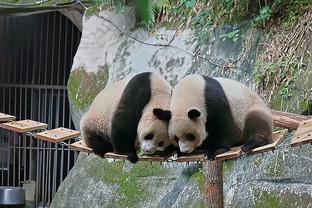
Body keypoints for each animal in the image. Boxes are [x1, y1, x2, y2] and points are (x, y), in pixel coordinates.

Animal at [80, 72, 272, 162]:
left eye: (161, 142)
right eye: (149, 136)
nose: (149, 150)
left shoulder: (213, 100)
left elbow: (223, 124)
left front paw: (216, 150)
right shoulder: (138, 91)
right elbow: (124, 121)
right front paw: (129, 153)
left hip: (253, 107)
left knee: (256, 120)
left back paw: (251, 143)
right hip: (94, 120)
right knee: (95, 134)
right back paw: (102, 148)